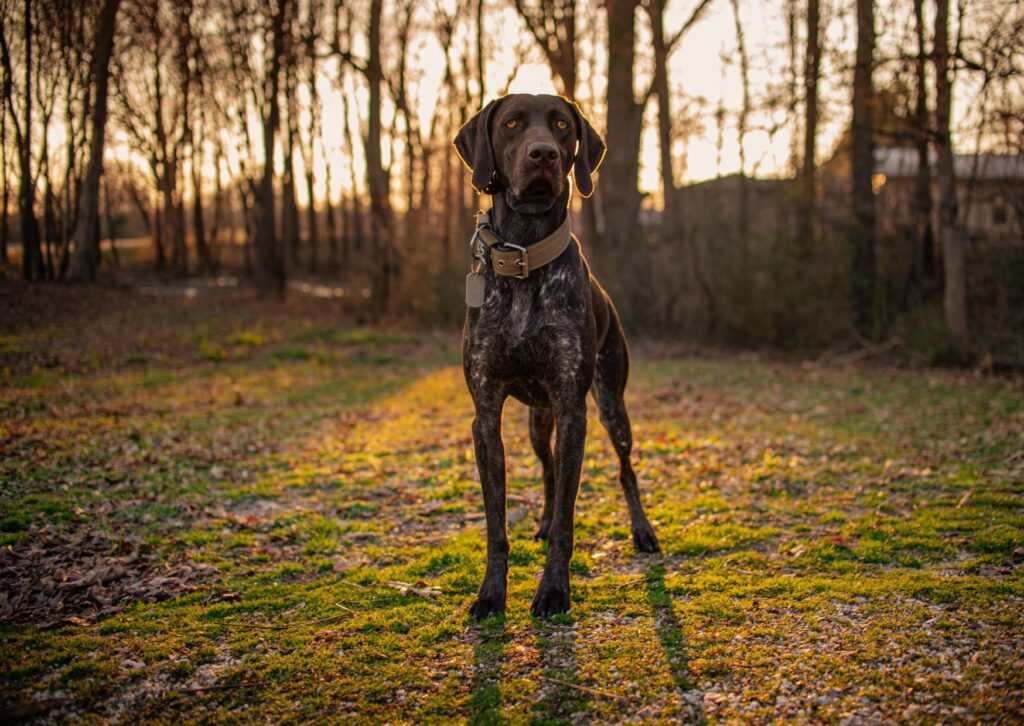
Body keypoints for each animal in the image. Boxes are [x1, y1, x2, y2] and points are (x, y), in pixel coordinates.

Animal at [456, 93, 663, 618]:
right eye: (511, 124)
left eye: (562, 125)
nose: (543, 154)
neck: (524, 253)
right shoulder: (486, 414)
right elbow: (496, 524)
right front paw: (491, 593)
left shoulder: (573, 411)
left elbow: (570, 519)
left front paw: (553, 590)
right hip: (537, 421)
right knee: (548, 469)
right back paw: (545, 520)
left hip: (610, 405)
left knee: (626, 470)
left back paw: (643, 531)